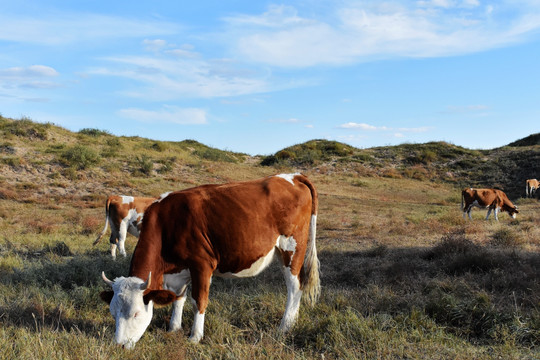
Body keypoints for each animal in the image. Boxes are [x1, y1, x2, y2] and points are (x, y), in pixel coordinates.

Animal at [100, 174, 320, 348]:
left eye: (136, 314)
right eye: (113, 312)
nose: (119, 345)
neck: (166, 224)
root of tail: (292, 176)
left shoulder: (202, 264)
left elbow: (199, 300)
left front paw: (195, 336)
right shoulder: (177, 272)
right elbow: (178, 298)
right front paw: (173, 328)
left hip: (292, 248)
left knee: (295, 286)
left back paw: (285, 326)